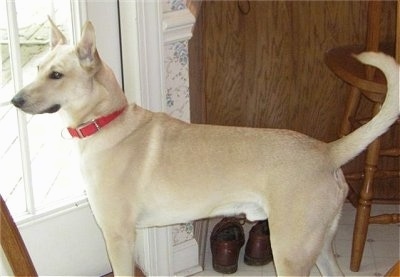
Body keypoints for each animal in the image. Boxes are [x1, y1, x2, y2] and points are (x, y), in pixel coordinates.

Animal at [10, 20, 398, 276]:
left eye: (56, 75)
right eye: (38, 67)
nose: (15, 100)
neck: (107, 122)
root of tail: (326, 150)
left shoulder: (117, 236)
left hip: (290, 251)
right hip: (318, 247)